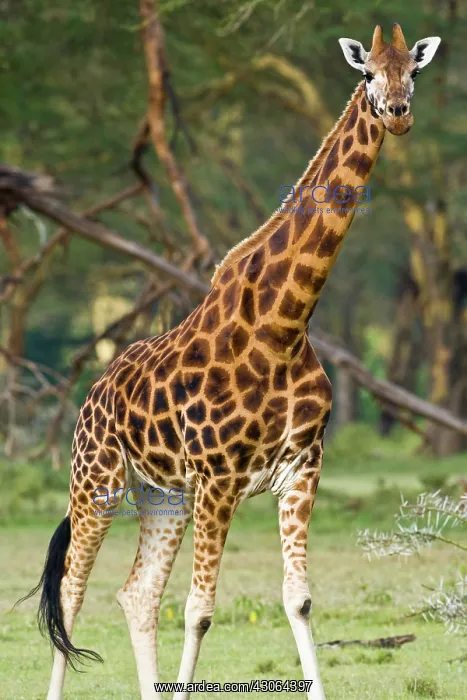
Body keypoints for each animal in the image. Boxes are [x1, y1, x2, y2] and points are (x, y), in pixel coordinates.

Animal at [20, 24, 441, 700]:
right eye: (369, 72)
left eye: (414, 71)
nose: (398, 113)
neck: (285, 326)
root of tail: (93, 392)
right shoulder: (219, 478)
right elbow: (200, 610)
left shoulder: (302, 467)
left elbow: (297, 600)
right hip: (98, 481)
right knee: (72, 589)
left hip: (162, 495)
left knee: (137, 594)